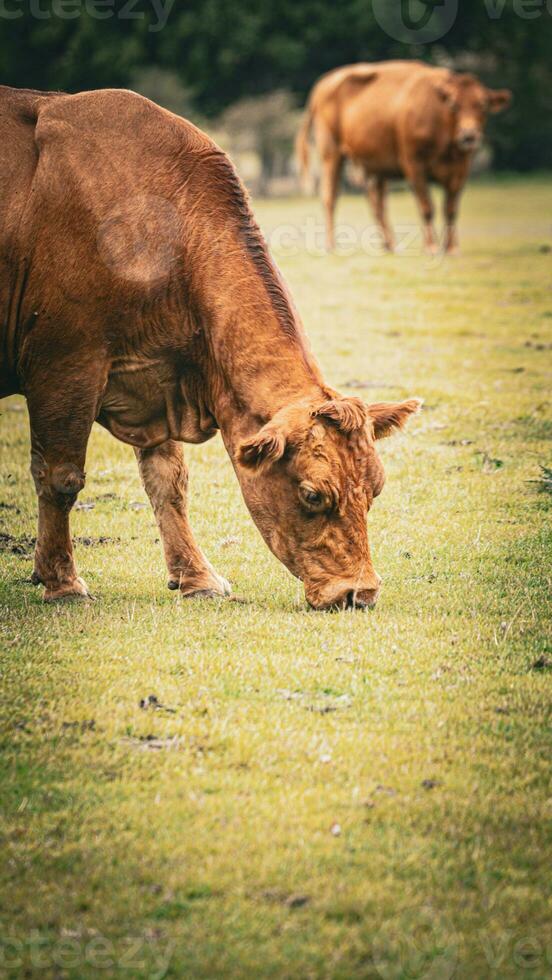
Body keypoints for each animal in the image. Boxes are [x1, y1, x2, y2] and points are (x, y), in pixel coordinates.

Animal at [1, 86, 422, 604]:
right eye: (311, 495)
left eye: (375, 489)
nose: (358, 592)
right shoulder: (64, 367)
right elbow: (60, 477)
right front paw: (61, 581)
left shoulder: (155, 376)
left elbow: (169, 482)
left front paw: (196, 576)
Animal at [298, 59, 512, 255]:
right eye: (453, 104)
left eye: (482, 105)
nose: (469, 135)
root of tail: (322, 85)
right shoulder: (414, 165)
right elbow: (427, 207)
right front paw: (432, 247)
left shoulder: (460, 169)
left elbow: (450, 209)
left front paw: (451, 248)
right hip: (331, 154)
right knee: (330, 197)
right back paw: (331, 245)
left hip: (375, 167)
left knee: (377, 204)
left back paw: (391, 246)